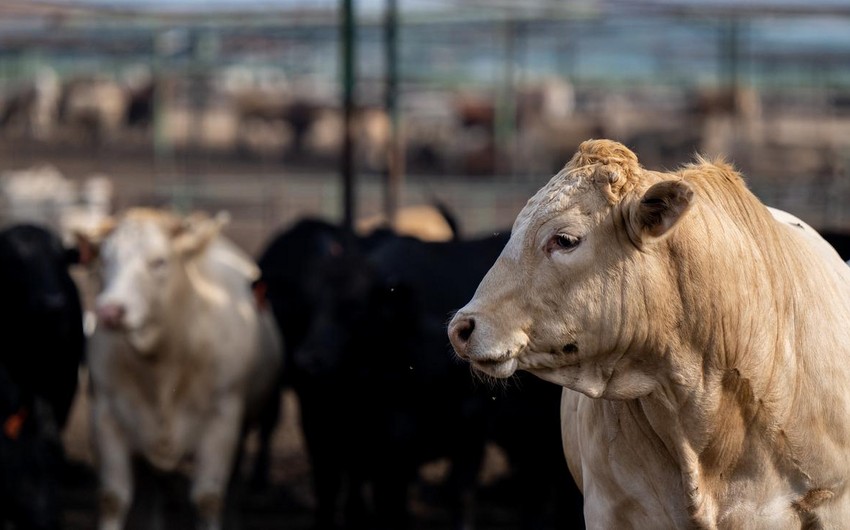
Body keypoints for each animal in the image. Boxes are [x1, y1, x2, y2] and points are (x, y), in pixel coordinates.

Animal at [78, 208, 282, 528]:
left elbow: (208, 498)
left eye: (159, 261)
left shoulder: (222, 419)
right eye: (105, 261)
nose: (110, 310)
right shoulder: (105, 414)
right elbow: (112, 498)